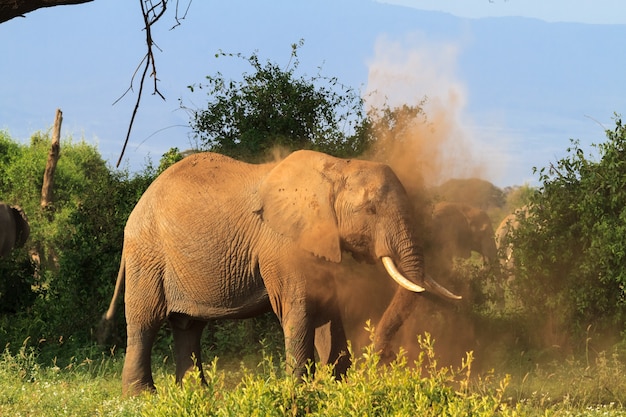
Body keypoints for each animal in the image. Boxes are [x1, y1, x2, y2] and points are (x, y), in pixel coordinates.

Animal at [101, 149, 458, 394]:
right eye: (369, 210)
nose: (375, 360)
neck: (336, 167)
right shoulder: (282, 244)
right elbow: (298, 309)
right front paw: (302, 390)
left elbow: (328, 310)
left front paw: (336, 386)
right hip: (147, 255)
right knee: (145, 321)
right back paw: (143, 397)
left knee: (188, 326)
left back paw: (196, 394)